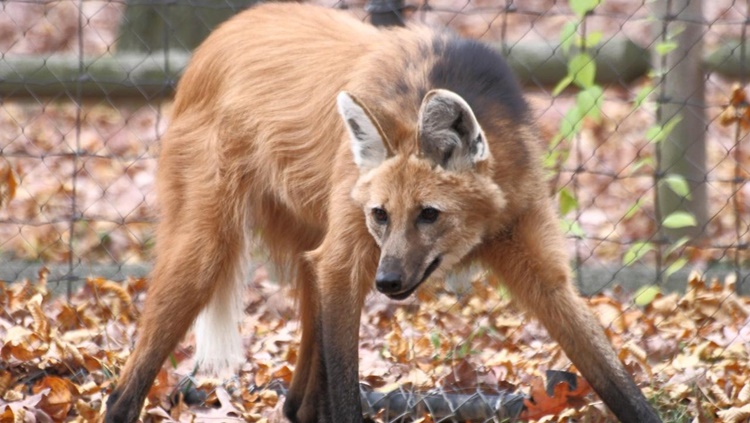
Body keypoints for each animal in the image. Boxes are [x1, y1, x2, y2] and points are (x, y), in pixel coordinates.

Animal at [106, 3, 664, 423]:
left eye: (429, 214)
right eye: (381, 214)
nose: (389, 282)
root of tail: (215, 38)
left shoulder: (536, 259)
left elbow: (616, 379)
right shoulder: (348, 261)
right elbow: (346, 389)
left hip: (309, 251)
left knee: (298, 403)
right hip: (209, 249)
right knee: (123, 390)